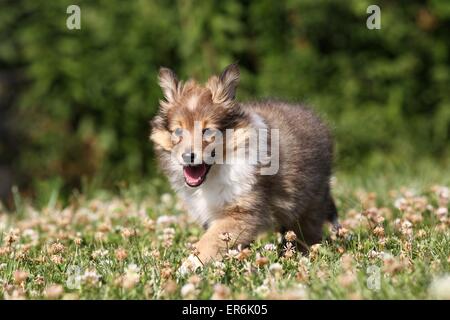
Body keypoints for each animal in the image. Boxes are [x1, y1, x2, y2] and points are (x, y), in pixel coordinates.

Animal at [151, 63, 338, 272]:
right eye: (178, 131)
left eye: (207, 131)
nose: (187, 157)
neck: (218, 170)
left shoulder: (242, 212)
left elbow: (208, 242)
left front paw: (186, 267)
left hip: (311, 202)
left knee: (308, 231)